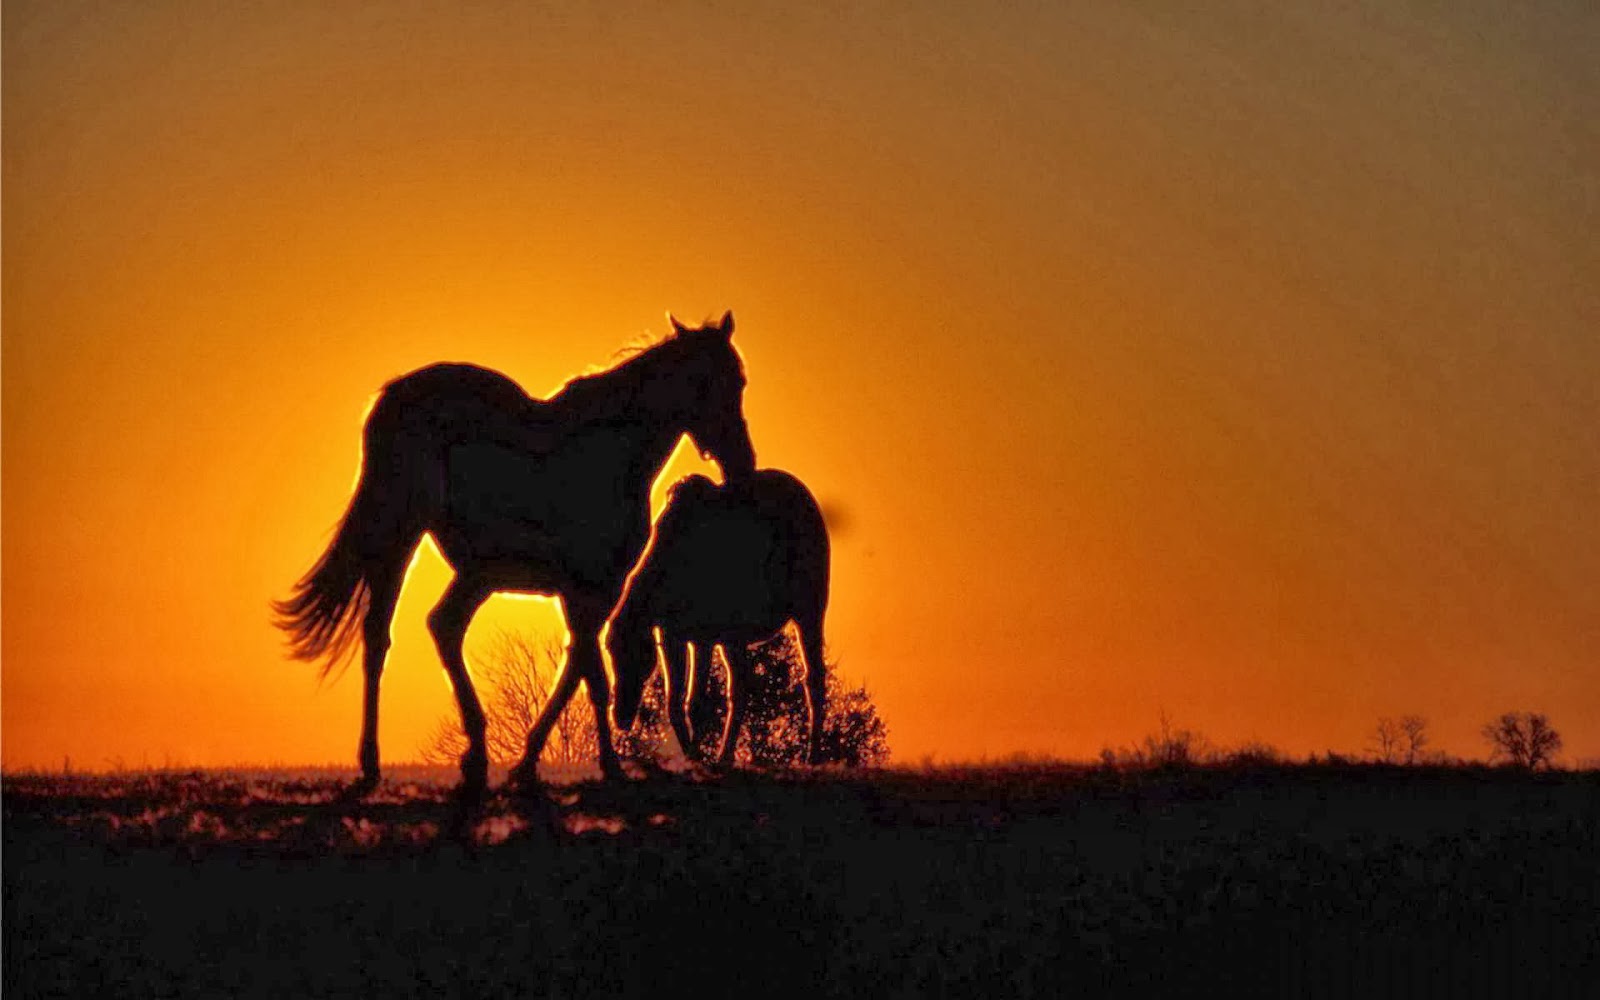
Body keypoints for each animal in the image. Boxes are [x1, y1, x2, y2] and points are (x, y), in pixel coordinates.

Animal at [272, 312, 755, 793]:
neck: (611, 455)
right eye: (711, 382)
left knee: (439, 626)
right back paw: (375, 764)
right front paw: (606, 764)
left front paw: (529, 761)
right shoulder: (591, 588)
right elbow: (592, 674)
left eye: (740, 380)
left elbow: (576, 668)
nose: (742, 465)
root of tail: (392, 398)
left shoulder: (585, 593)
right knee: (381, 635)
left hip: (474, 573)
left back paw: (473, 756)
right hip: (404, 539)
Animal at [608, 469, 831, 765]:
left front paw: (697, 756)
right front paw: (693, 755)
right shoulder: (673, 635)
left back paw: (812, 755)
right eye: (610, 652)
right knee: (740, 687)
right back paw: (726, 755)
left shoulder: (703, 636)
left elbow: (695, 703)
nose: (620, 716)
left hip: (809, 610)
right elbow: (674, 703)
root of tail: (808, 499)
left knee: (812, 678)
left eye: (635, 655)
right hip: (734, 638)